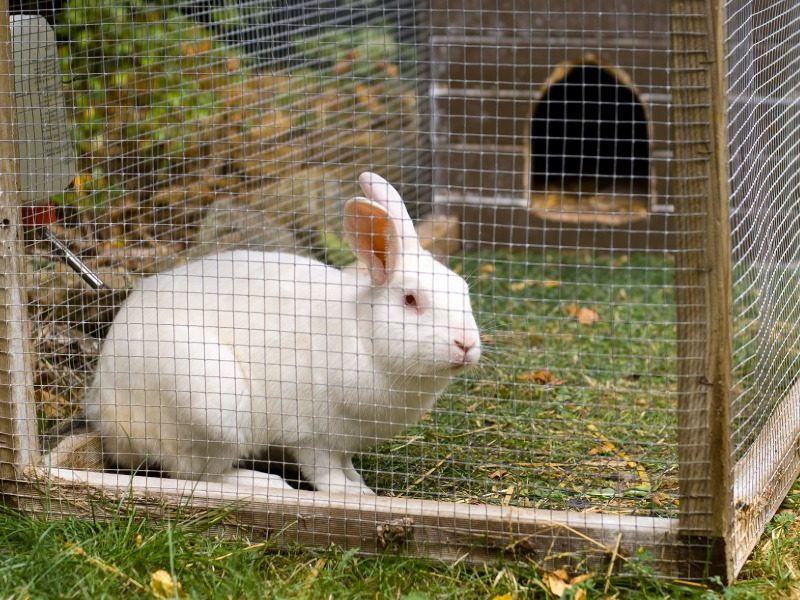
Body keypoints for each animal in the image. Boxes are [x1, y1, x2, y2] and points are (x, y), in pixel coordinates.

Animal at [85, 172, 481, 495]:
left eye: (464, 289)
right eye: (411, 299)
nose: (466, 344)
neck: (364, 336)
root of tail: (108, 416)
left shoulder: (344, 440)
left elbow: (345, 464)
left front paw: (359, 483)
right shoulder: (311, 434)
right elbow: (323, 471)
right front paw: (353, 494)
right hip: (211, 405)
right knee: (198, 474)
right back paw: (265, 483)